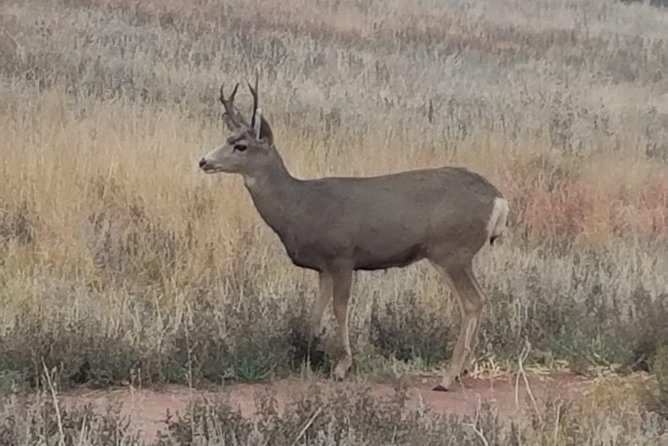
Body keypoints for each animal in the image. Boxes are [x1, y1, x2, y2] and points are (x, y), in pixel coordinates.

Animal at [198, 78, 512, 392]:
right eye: (227, 138)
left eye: (241, 146)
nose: (203, 161)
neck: (300, 207)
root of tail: (499, 200)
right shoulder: (323, 267)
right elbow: (315, 314)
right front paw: (311, 354)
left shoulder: (343, 256)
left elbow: (340, 308)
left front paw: (342, 367)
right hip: (459, 255)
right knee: (481, 298)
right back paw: (463, 369)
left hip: (449, 250)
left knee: (472, 301)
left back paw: (447, 377)